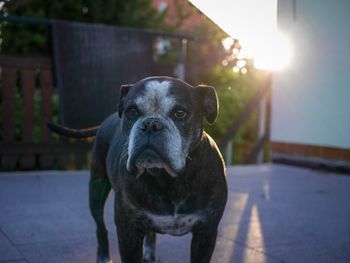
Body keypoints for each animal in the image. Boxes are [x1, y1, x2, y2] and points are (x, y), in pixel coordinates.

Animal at [48, 77, 227, 263]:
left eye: (180, 113)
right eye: (132, 111)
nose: (151, 124)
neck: (167, 178)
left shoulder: (206, 233)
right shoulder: (128, 232)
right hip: (97, 189)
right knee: (100, 227)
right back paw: (103, 256)